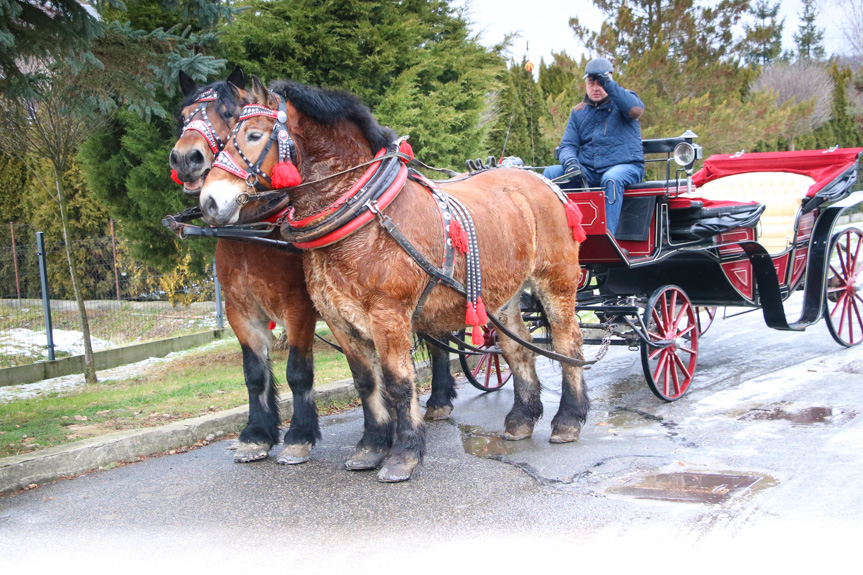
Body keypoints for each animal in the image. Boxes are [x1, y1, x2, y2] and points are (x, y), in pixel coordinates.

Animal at [168, 71, 460, 468]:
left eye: (228, 113)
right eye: (184, 117)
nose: (187, 159)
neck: (251, 237)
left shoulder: (300, 307)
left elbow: (298, 372)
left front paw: (298, 436)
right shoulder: (239, 311)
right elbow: (254, 374)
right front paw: (256, 435)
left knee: (439, 339)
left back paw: (440, 399)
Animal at [197, 75, 588, 482]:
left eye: (254, 135)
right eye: (226, 136)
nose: (210, 200)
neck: (364, 218)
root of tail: (541, 182)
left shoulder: (389, 315)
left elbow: (399, 383)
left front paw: (404, 454)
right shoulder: (339, 319)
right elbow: (368, 383)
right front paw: (370, 448)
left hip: (556, 282)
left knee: (567, 344)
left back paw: (568, 420)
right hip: (504, 295)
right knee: (517, 348)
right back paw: (521, 419)